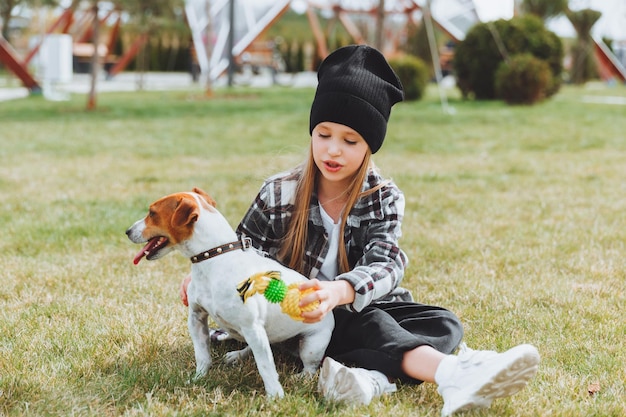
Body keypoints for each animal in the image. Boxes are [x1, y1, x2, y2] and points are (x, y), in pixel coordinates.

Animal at [124, 188, 334, 396]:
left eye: (152, 213)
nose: (127, 231)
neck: (215, 258)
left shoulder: (252, 326)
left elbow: (265, 366)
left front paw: (275, 395)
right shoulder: (197, 317)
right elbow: (202, 355)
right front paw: (198, 378)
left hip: (311, 345)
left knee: (308, 367)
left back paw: (300, 377)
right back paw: (237, 355)